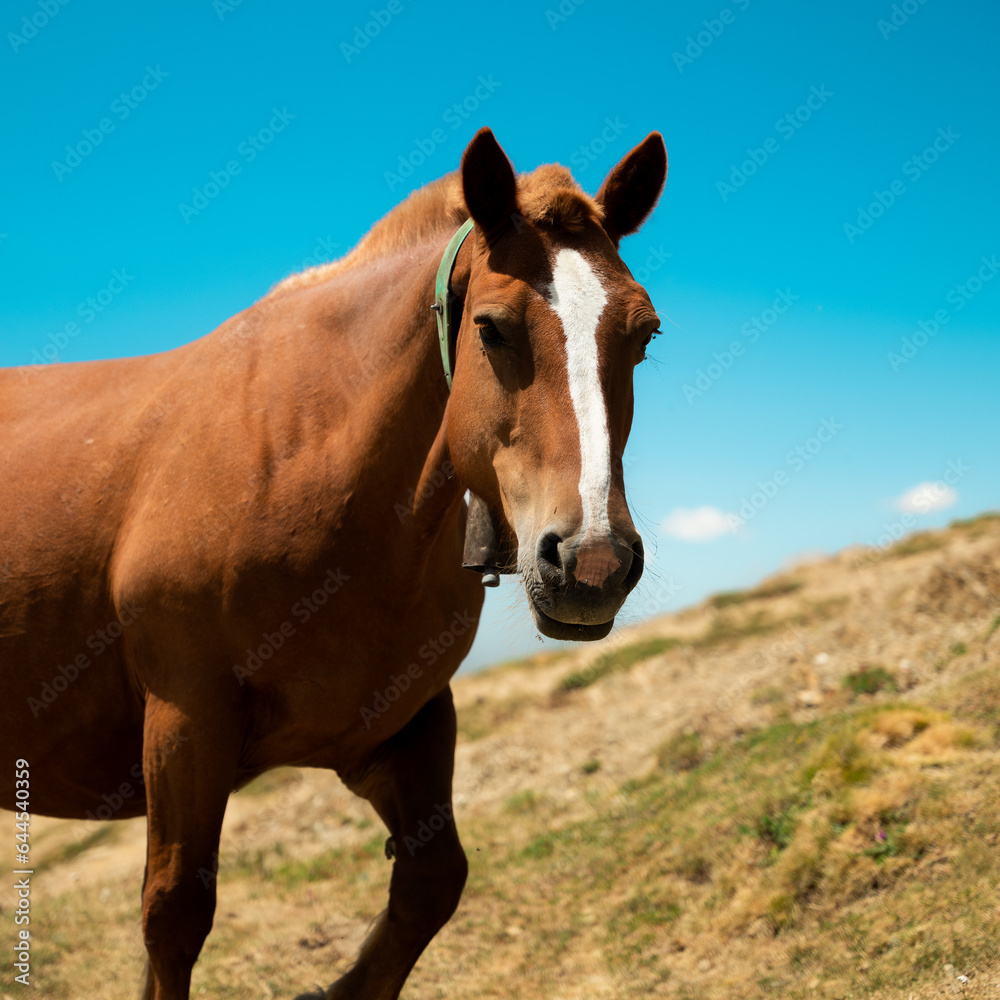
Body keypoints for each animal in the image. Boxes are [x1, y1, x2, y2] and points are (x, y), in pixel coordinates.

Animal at [1, 127, 672, 1000]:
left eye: (644, 335)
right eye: (492, 328)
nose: (591, 562)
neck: (307, 457)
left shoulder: (398, 725)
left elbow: (432, 879)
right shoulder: (186, 716)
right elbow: (173, 917)